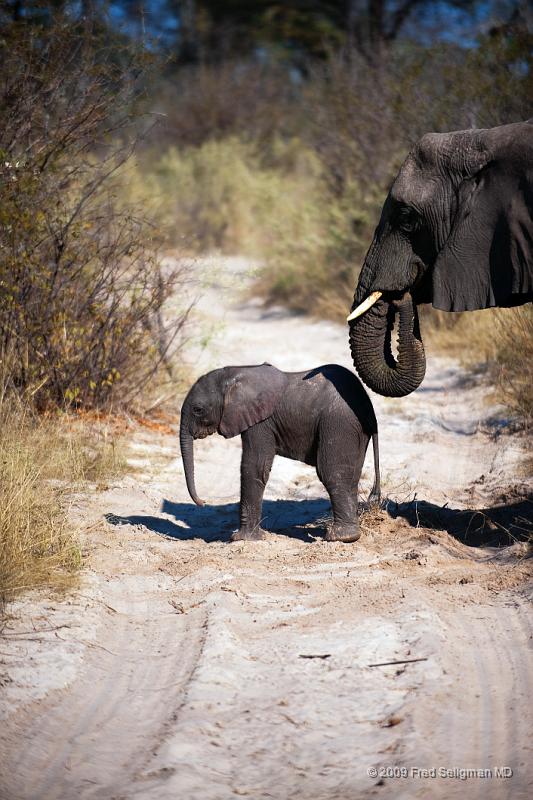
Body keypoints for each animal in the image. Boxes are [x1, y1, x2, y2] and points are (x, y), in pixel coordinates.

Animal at [179, 364, 378, 544]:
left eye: (198, 409)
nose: (203, 502)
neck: (235, 373)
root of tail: (368, 406)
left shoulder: (260, 423)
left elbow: (255, 467)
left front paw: (241, 539)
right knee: (352, 476)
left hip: (338, 423)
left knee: (332, 472)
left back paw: (340, 537)